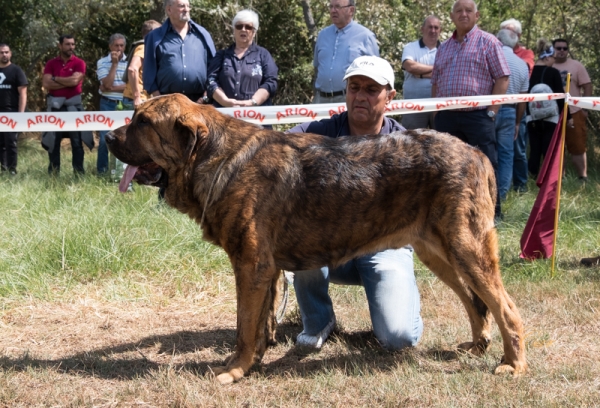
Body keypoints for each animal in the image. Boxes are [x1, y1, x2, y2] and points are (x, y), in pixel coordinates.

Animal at [105, 94, 528, 384]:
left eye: (143, 122)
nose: (108, 138)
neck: (216, 157)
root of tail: (477, 153)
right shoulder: (266, 271)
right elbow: (259, 324)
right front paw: (252, 362)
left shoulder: (250, 267)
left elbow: (243, 326)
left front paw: (235, 370)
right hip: (439, 253)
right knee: (474, 301)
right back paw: (477, 345)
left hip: (467, 248)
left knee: (505, 306)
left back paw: (513, 364)